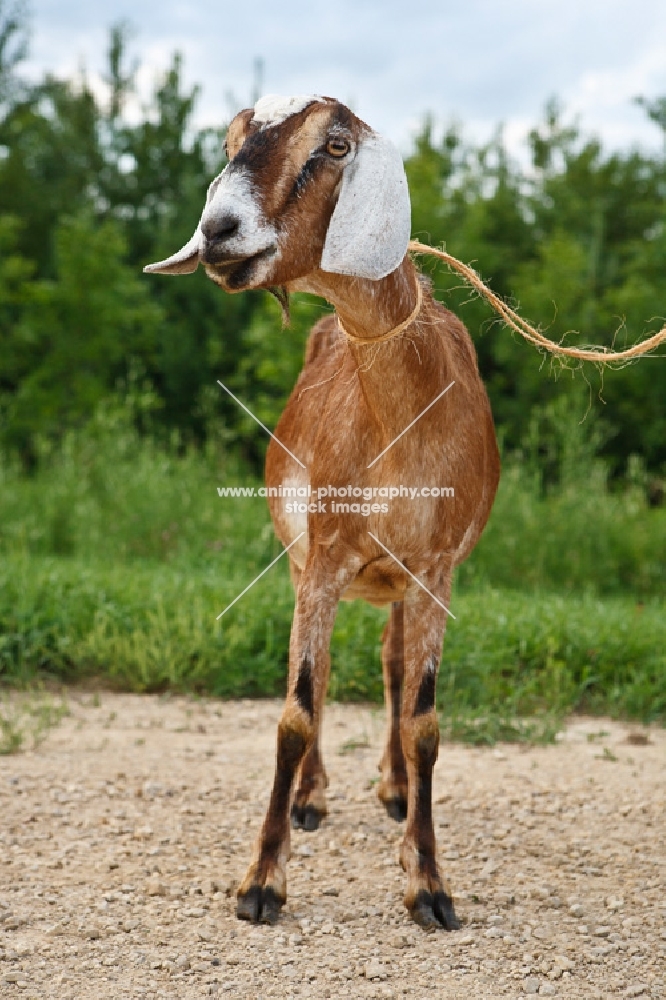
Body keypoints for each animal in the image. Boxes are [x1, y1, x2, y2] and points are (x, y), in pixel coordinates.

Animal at [144, 94, 498, 928]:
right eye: (233, 141)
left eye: (335, 145)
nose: (220, 231)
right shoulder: (325, 559)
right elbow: (296, 710)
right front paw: (261, 881)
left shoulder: (436, 569)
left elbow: (425, 721)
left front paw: (430, 884)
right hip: (307, 560)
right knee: (332, 668)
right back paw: (311, 797)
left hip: (394, 580)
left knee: (393, 666)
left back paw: (396, 789)